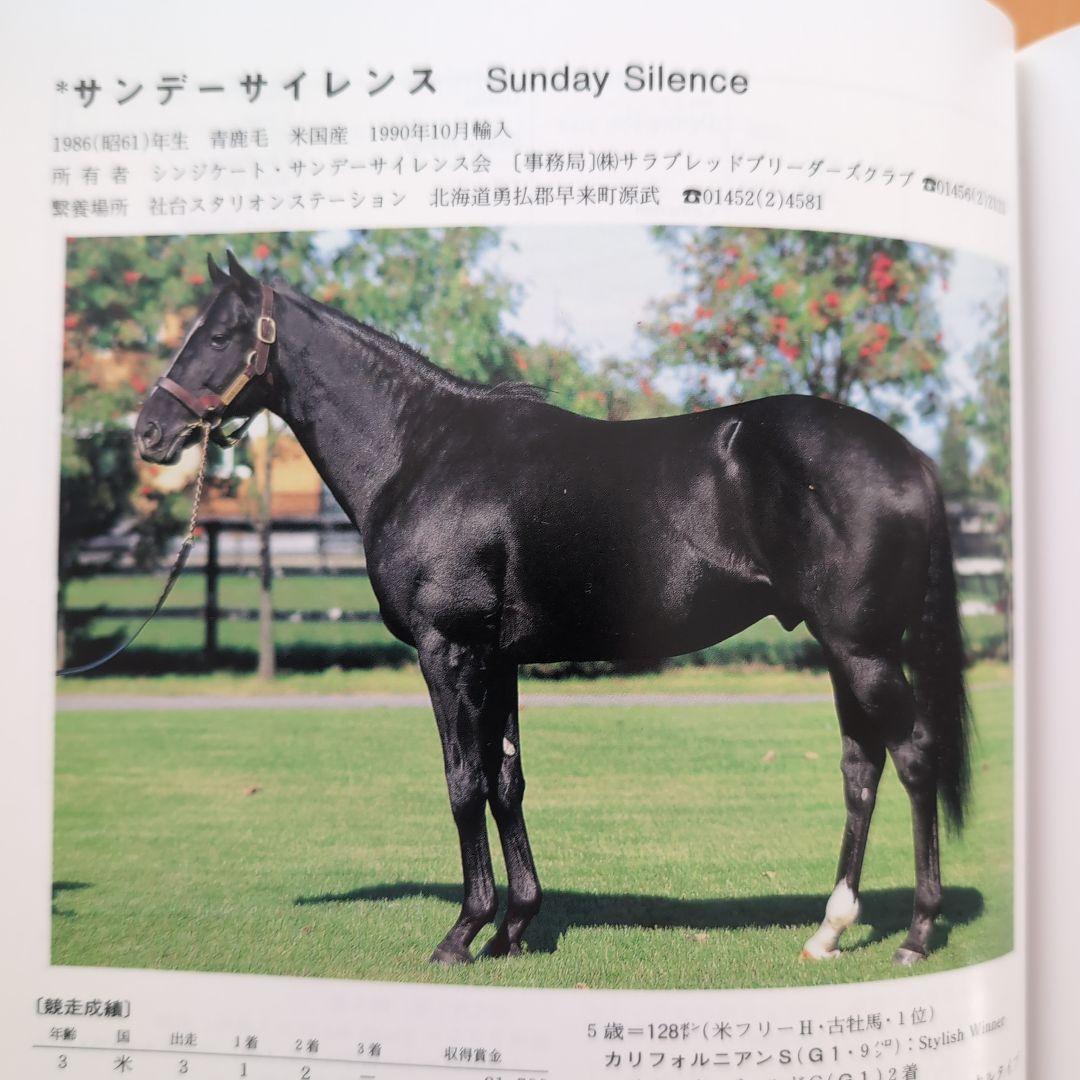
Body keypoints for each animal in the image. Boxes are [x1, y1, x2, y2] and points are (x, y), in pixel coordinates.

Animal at [133, 251, 971, 969]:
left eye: (217, 334)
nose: (149, 431)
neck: (422, 452)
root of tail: (912, 458)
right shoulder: (497, 658)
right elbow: (507, 781)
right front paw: (514, 929)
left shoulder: (448, 650)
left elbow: (463, 781)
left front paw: (463, 933)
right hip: (842, 647)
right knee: (861, 765)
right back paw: (830, 930)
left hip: (862, 648)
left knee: (913, 756)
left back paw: (917, 932)